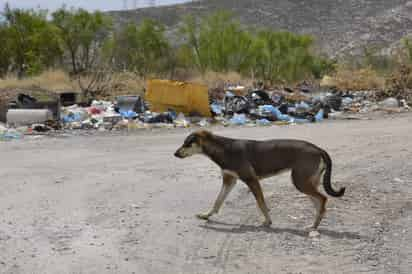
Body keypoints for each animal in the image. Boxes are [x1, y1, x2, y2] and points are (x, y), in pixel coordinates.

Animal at [174, 130, 344, 229]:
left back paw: (314, 225)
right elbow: (218, 201)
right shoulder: (229, 181)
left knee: (322, 199)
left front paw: (267, 222)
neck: (223, 149)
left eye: (187, 143)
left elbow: (261, 204)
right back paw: (314, 225)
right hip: (307, 182)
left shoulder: (252, 180)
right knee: (319, 203)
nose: (175, 154)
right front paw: (206, 215)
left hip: (300, 182)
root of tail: (318, 149)